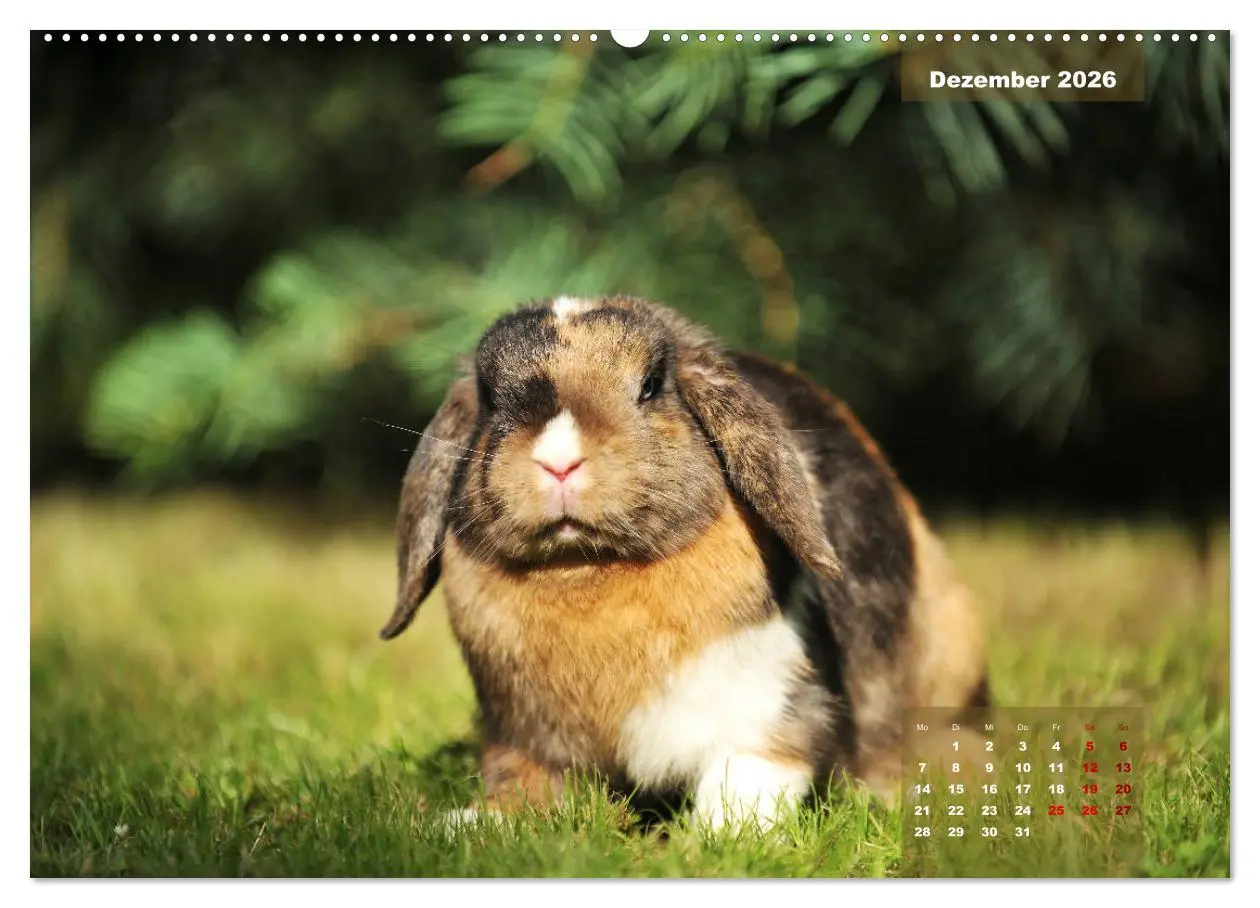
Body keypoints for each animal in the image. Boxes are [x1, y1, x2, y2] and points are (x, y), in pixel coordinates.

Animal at [381, 294, 989, 833]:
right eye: (489, 396)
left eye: (651, 384)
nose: (558, 460)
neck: (587, 569)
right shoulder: (522, 736)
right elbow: (522, 785)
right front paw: (469, 826)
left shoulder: (768, 712)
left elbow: (748, 778)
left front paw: (721, 839)